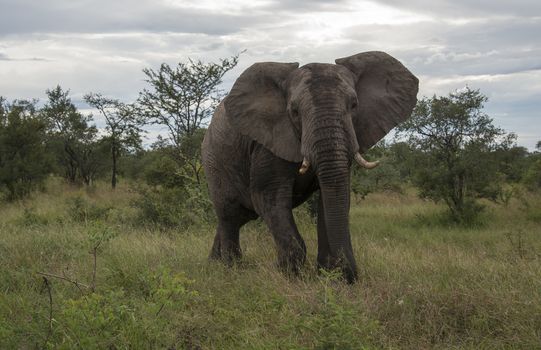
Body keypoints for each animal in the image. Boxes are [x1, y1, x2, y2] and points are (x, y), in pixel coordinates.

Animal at [202, 51, 418, 282]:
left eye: (354, 105)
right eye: (294, 111)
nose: (349, 276)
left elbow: (332, 195)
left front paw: (328, 275)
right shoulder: (268, 142)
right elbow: (269, 197)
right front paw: (289, 275)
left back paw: (214, 263)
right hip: (214, 160)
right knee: (229, 215)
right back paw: (230, 269)